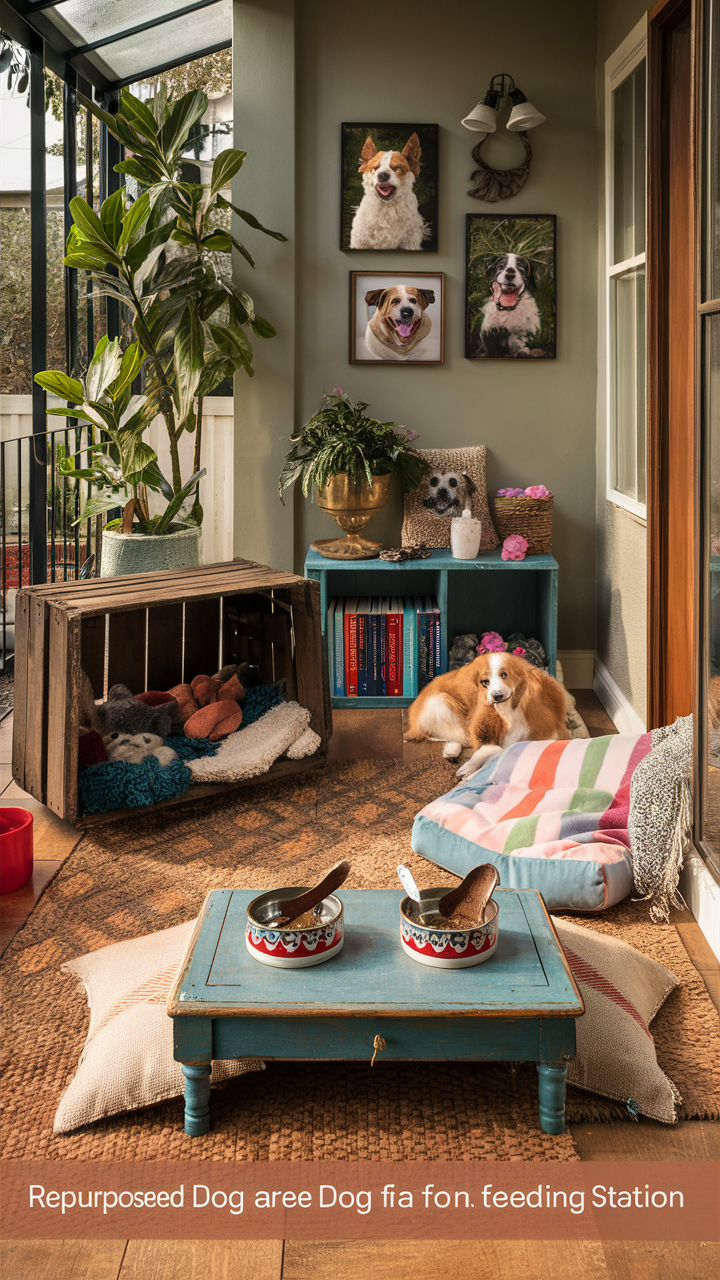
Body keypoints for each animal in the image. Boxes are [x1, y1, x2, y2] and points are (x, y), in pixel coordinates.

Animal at [404, 650, 566, 778]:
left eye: (504, 675)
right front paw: (469, 768)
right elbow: (493, 748)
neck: (509, 713)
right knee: (441, 734)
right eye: (484, 682)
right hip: (438, 703)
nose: (497, 696)